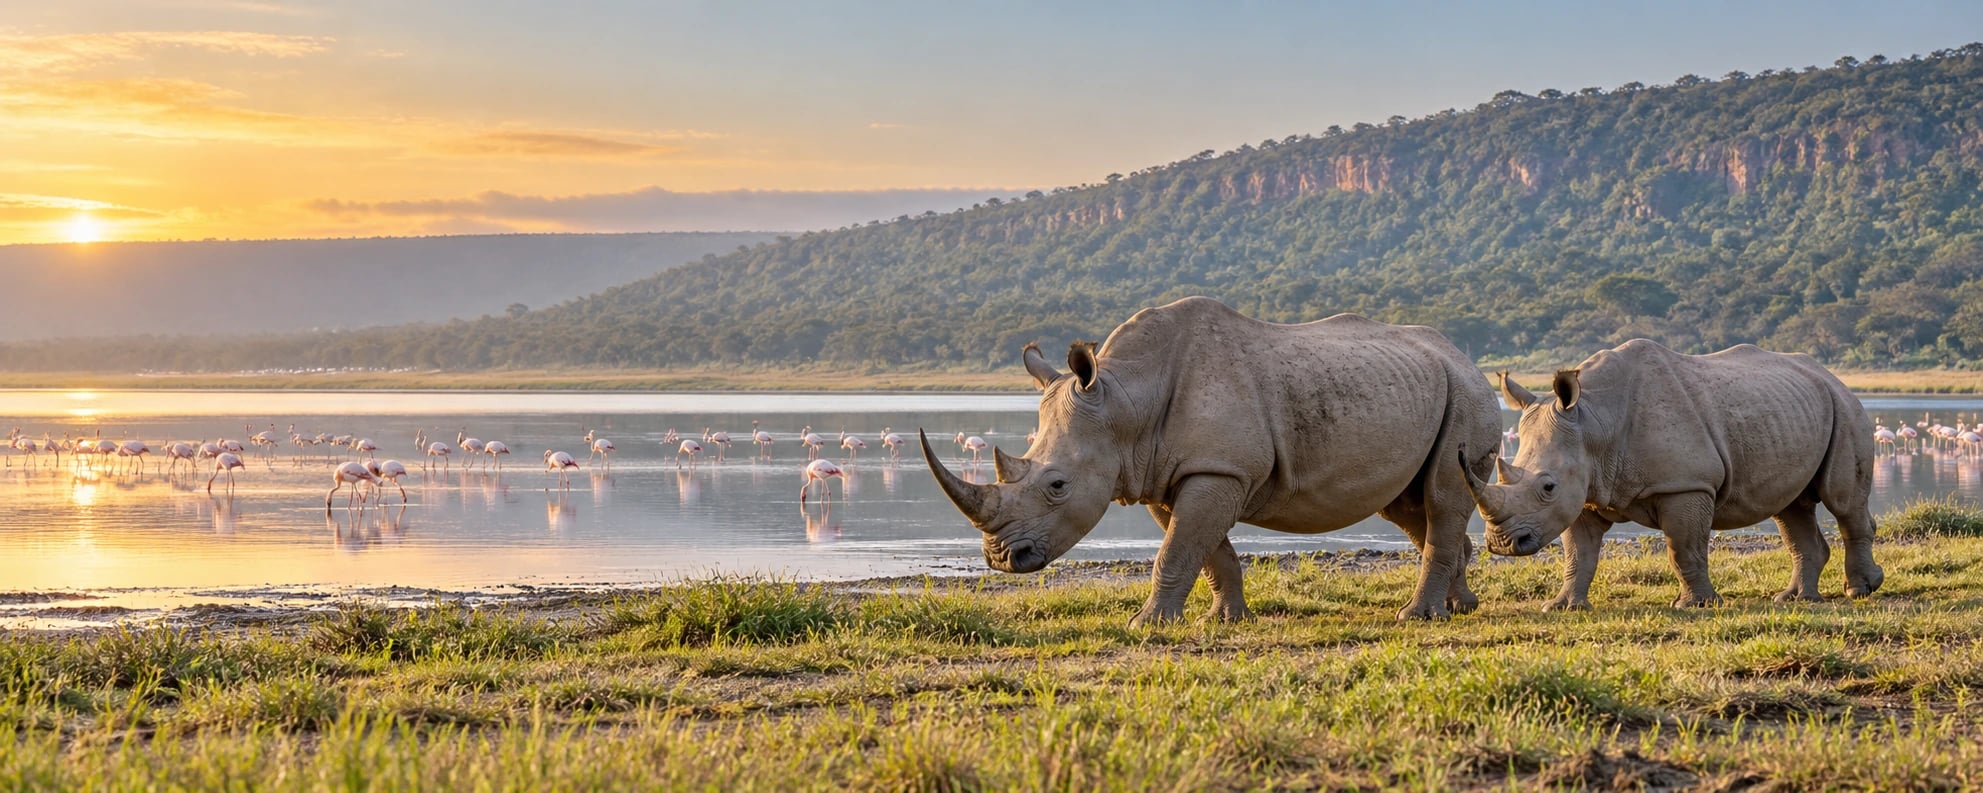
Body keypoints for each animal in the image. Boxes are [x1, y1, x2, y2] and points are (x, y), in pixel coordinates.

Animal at [920, 297, 1503, 625]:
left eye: (1057, 486)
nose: (1001, 559)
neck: (1125, 401)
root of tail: (1467, 359)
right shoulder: (1164, 473)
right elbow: (1204, 550)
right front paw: (1226, 620)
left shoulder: (1219, 468)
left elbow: (1177, 550)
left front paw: (1146, 625)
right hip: (1423, 390)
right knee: (1408, 505)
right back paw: (1461, 607)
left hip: (1469, 395)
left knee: (1442, 493)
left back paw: (1417, 617)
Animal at [1463, 340, 1884, 610]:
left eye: (1547, 486)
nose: (1502, 544)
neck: (1594, 422)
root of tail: (1828, 374)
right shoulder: (1584, 488)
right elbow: (1578, 553)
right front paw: (1563, 606)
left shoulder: (1686, 485)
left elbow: (1683, 547)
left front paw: (1696, 605)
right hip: (1793, 409)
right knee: (1790, 507)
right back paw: (1795, 599)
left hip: (1845, 406)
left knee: (1842, 500)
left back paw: (1860, 590)